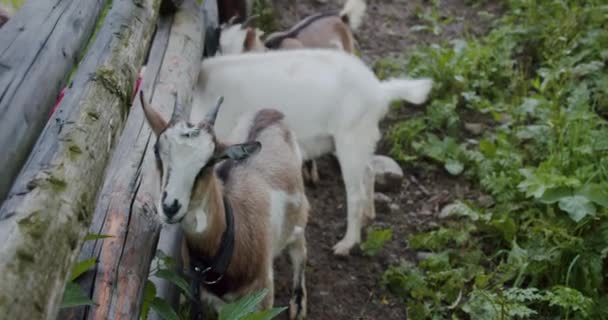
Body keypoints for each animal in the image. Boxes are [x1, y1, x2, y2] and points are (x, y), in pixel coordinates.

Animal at [141, 91, 312, 318]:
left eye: (209, 163)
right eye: (156, 151)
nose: (170, 207)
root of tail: (270, 111)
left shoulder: (262, 296)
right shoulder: (205, 297)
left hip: (299, 212)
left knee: (299, 248)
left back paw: (298, 304)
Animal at [190, 49, 432, 255]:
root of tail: (379, 91)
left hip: (350, 140)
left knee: (355, 194)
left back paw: (345, 245)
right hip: (358, 141)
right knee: (369, 170)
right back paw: (368, 215)